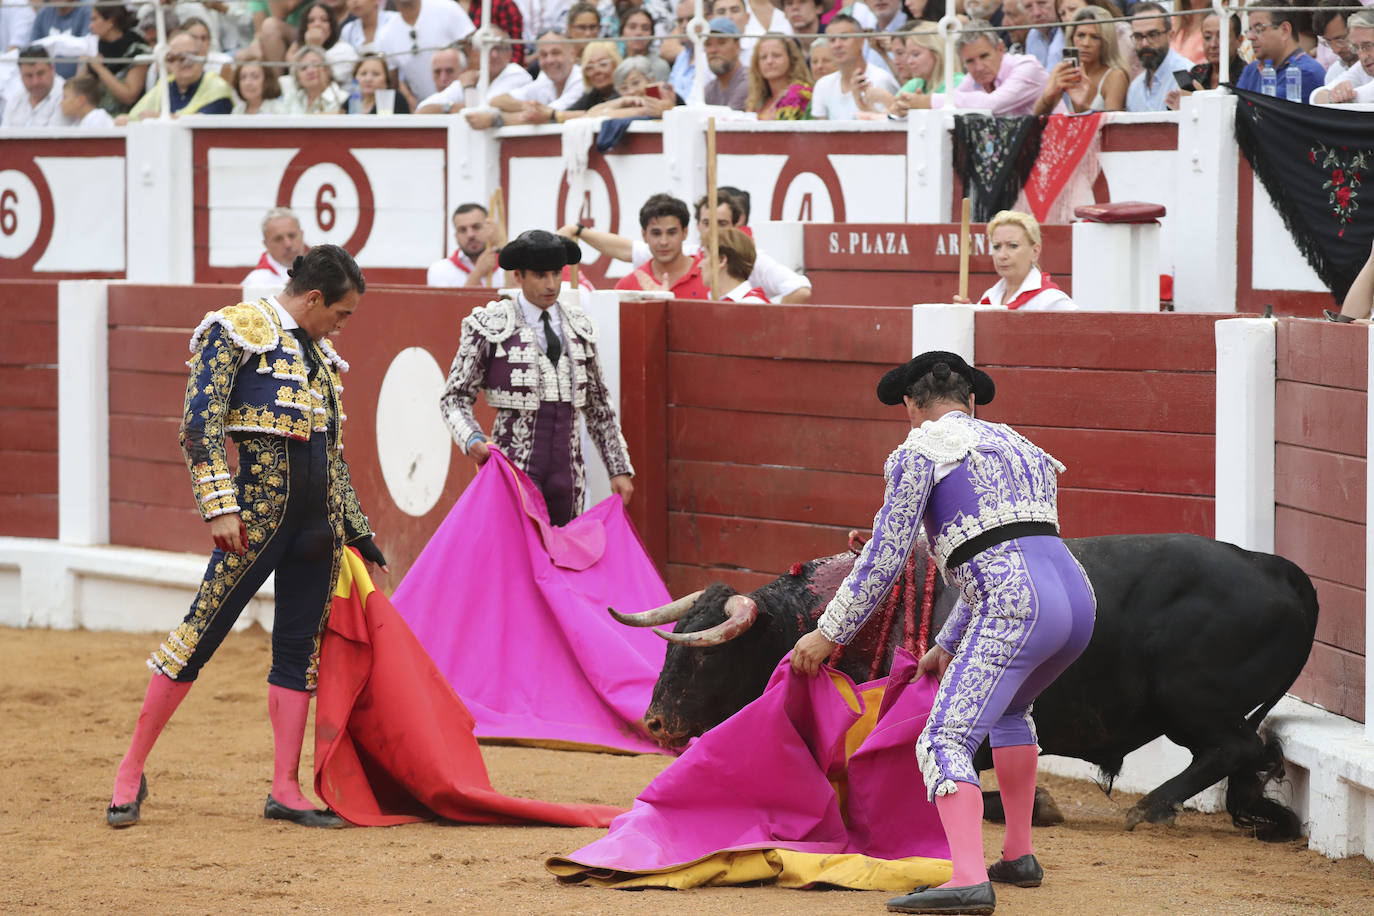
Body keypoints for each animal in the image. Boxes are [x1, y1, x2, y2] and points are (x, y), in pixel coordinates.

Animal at [615, 532, 1319, 840]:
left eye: (706, 660)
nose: (653, 724)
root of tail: (1274, 569)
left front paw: (1036, 805)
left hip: (1190, 700)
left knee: (1232, 749)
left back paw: (1149, 809)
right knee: (1252, 754)